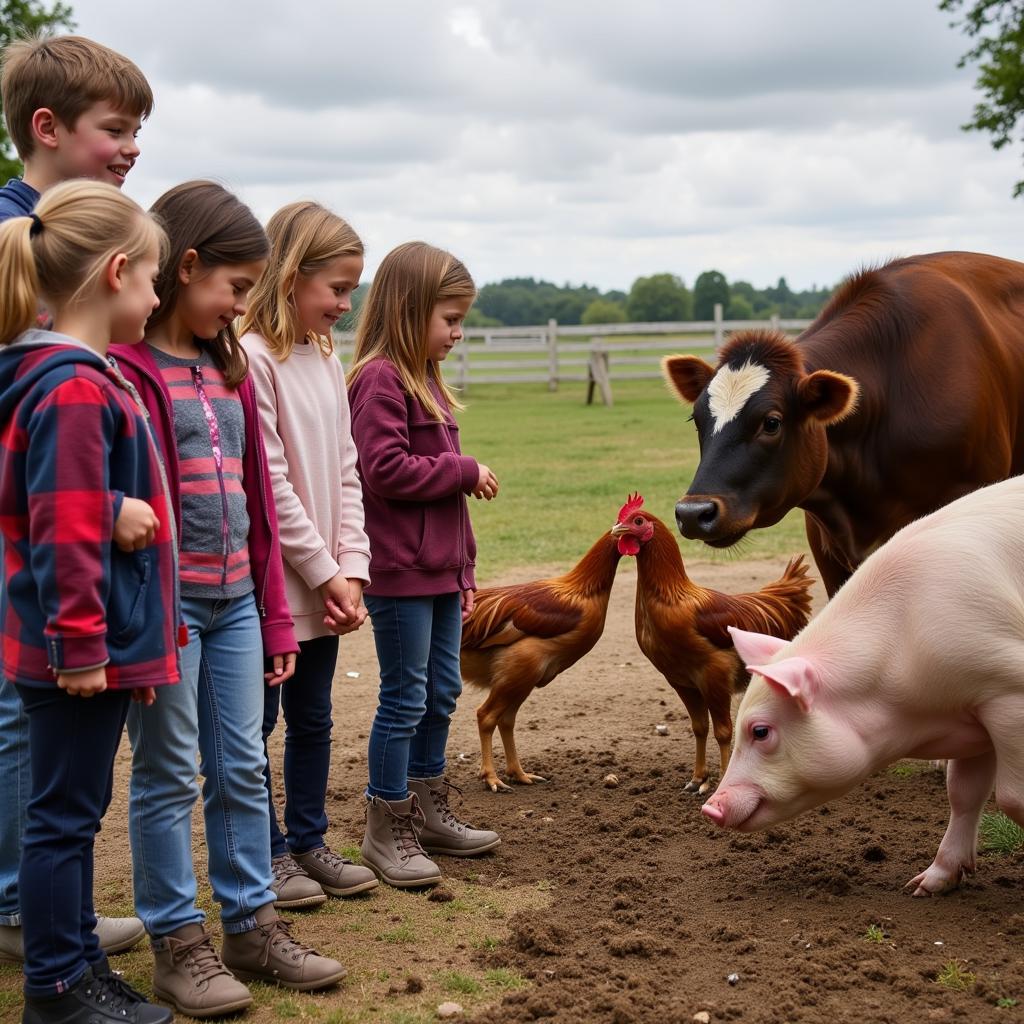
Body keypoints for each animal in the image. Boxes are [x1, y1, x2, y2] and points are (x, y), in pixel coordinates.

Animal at [700, 475, 1024, 892]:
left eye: (760, 731)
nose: (709, 807)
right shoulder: (975, 705)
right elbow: (963, 793)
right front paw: (923, 887)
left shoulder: (1006, 686)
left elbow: (1012, 798)